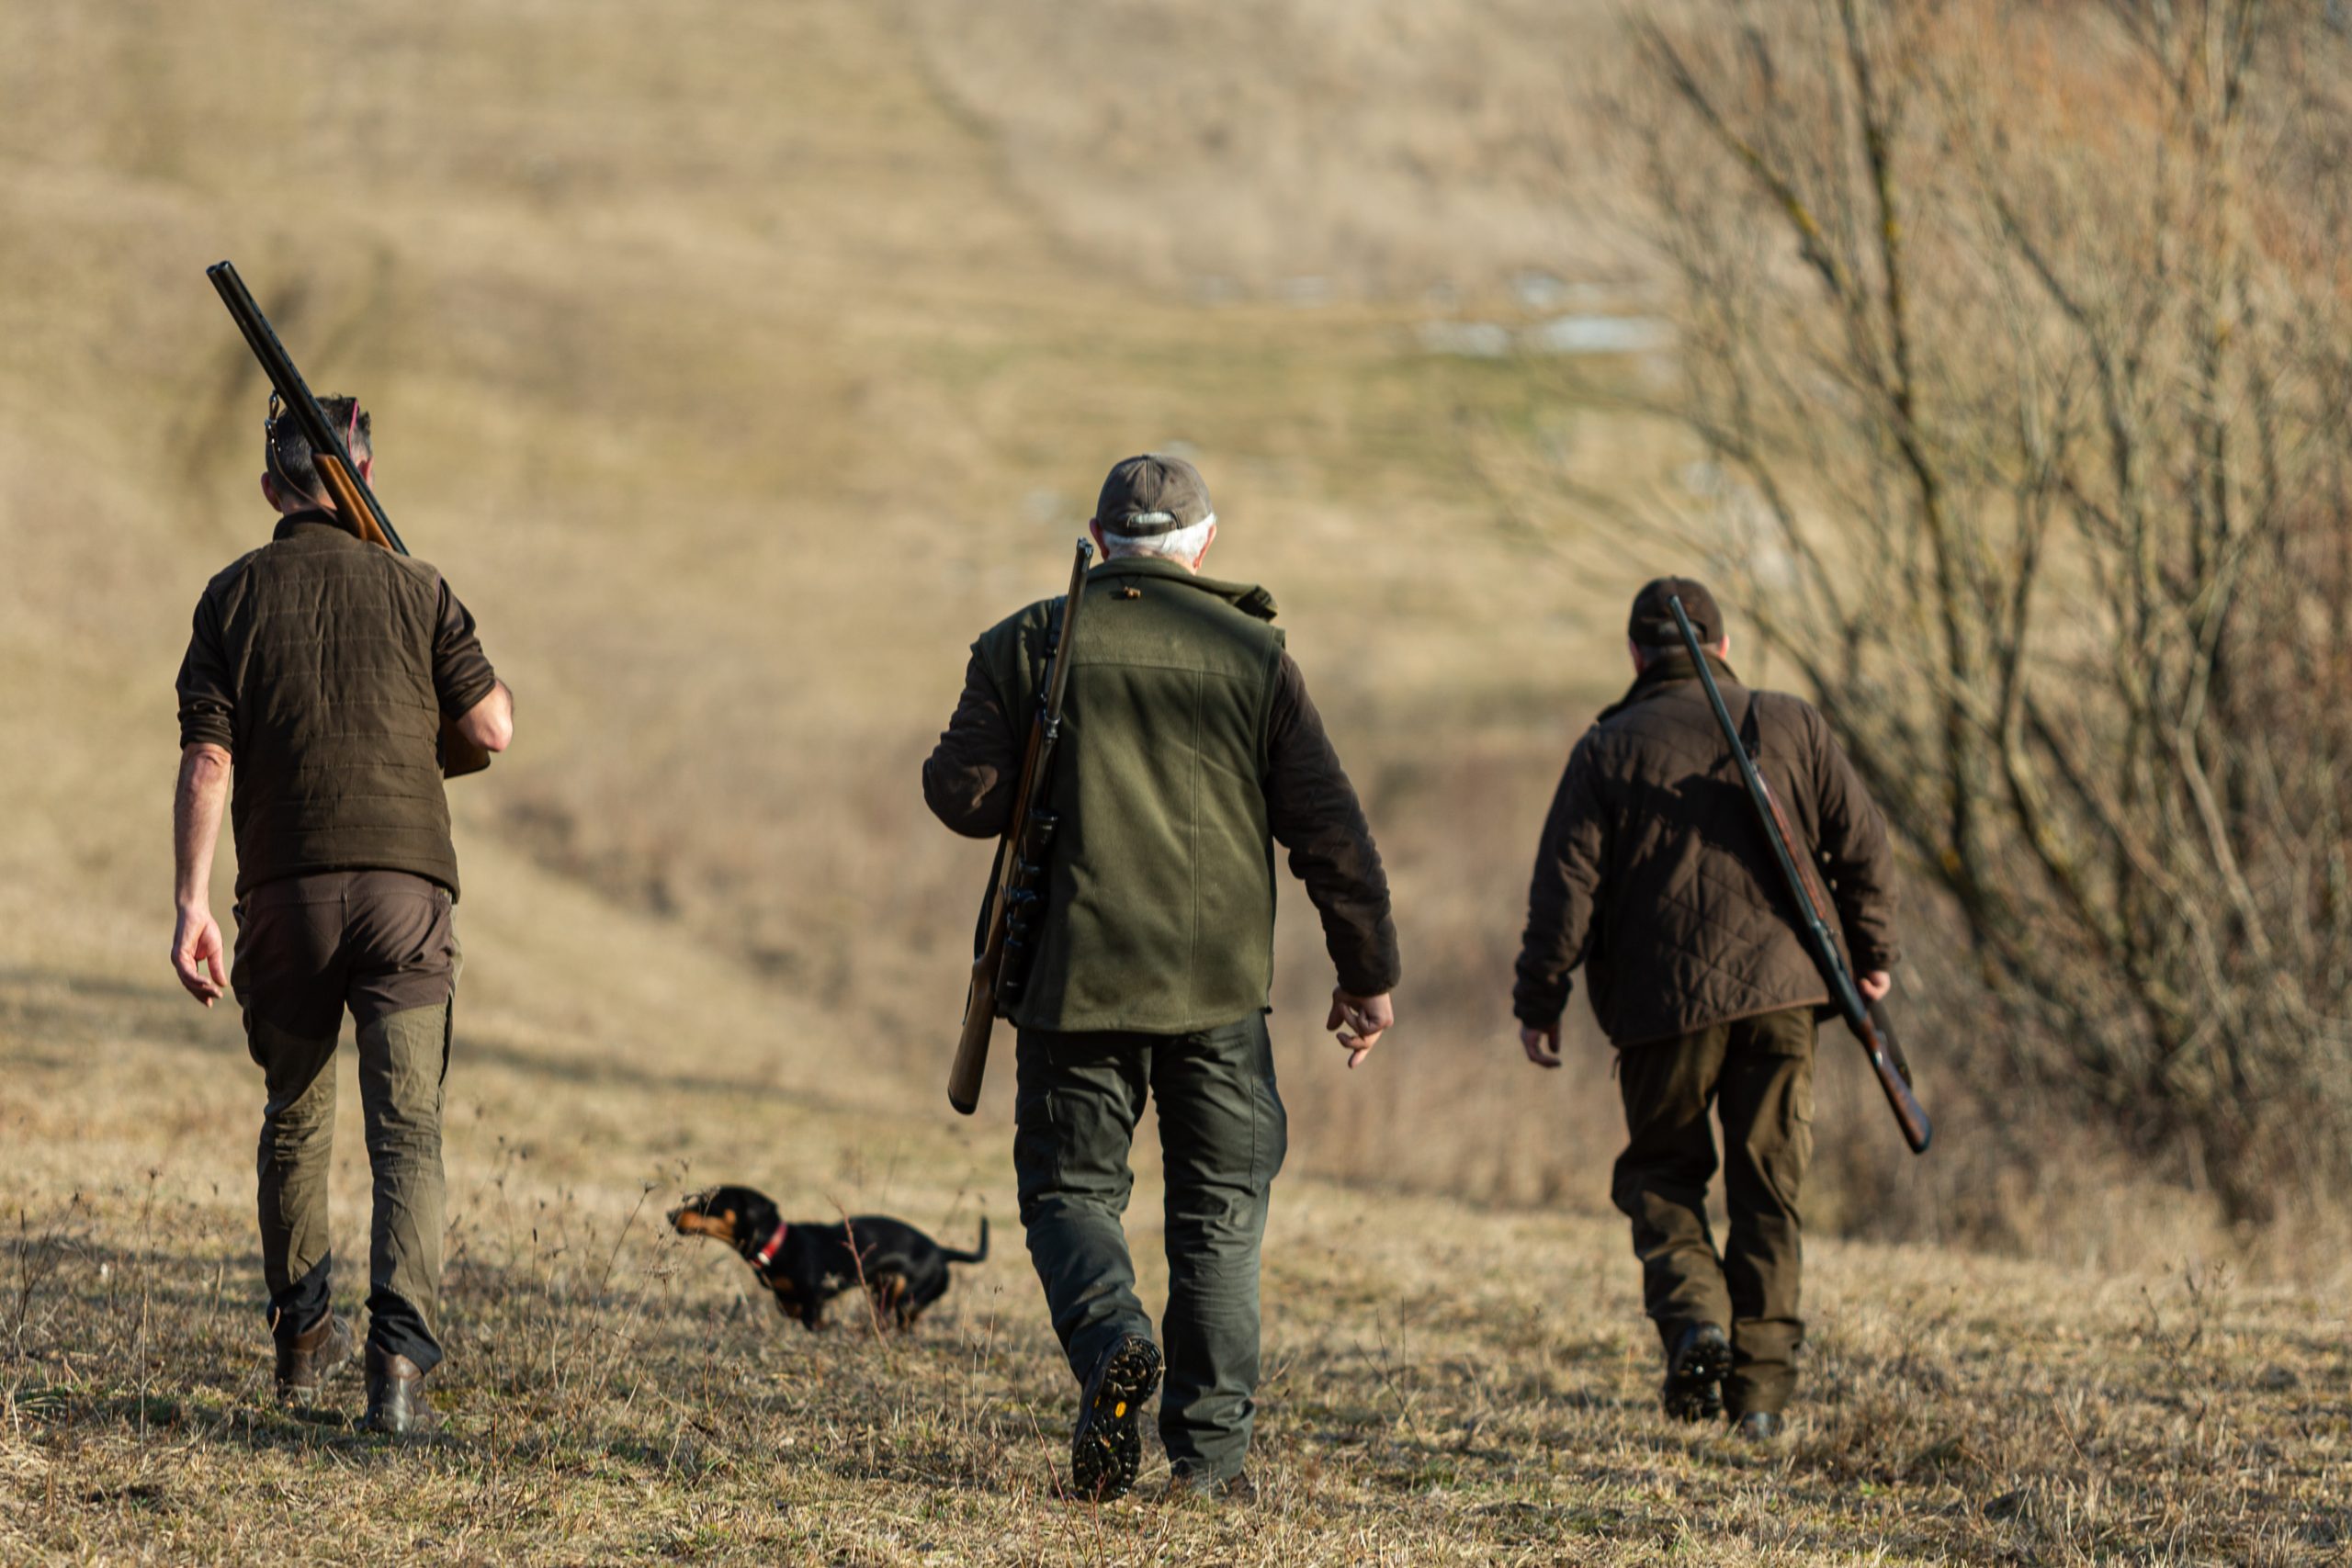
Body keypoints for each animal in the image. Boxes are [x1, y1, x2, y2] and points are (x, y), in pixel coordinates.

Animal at [673, 1184, 983, 1335]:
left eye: (708, 1204)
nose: (670, 1215)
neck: (776, 1244)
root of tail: (942, 1251)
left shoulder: (816, 1293)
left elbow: (811, 1320)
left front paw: (828, 1326)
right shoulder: (787, 1297)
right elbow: (790, 1309)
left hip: (903, 1294)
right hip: (883, 1291)